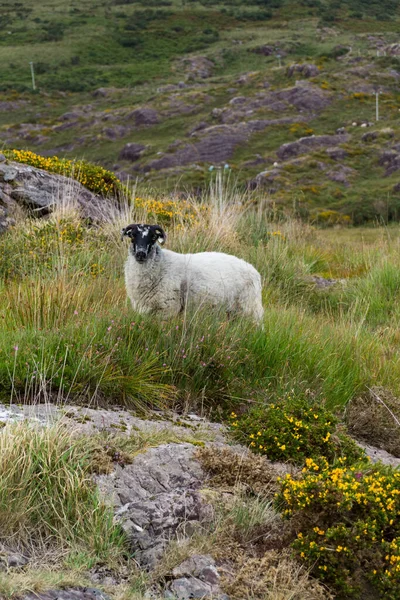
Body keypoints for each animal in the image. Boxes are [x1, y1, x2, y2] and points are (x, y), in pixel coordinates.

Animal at [122, 223, 266, 324]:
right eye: (132, 235)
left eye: (153, 237)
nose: (141, 254)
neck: (162, 264)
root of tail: (254, 270)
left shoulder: (168, 309)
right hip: (233, 311)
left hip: (250, 308)